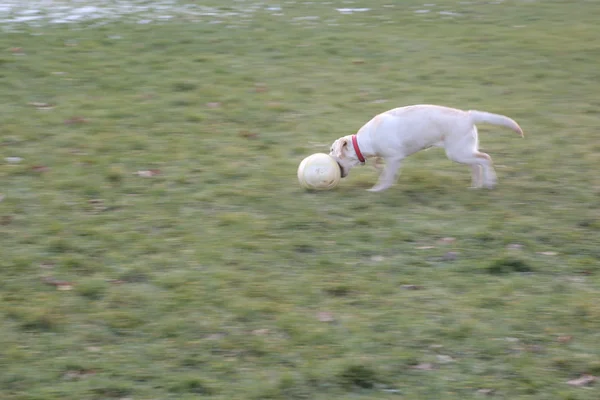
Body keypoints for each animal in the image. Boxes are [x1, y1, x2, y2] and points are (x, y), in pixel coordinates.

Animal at [330, 104, 524, 192]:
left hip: (458, 152)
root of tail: (468, 115)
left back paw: (490, 182)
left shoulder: (394, 158)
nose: (329, 158)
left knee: (486, 159)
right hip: (463, 152)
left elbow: (386, 177)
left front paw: (377, 190)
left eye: (332, 152)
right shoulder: (388, 158)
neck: (365, 141)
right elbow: (382, 168)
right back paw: (475, 187)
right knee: (476, 165)